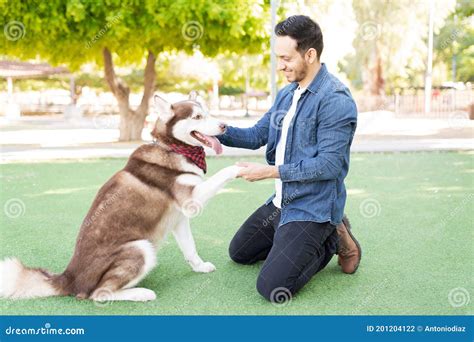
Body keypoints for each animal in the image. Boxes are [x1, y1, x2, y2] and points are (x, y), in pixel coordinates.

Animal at [0, 91, 241, 302]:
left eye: (208, 112)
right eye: (197, 117)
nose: (224, 126)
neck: (174, 148)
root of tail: (69, 279)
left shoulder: (179, 218)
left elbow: (190, 248)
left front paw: (200, 267)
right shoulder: (192, 201)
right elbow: (224, 172)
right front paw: (239, 167)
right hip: (141, 248)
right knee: (98, 294)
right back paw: (141, 293)